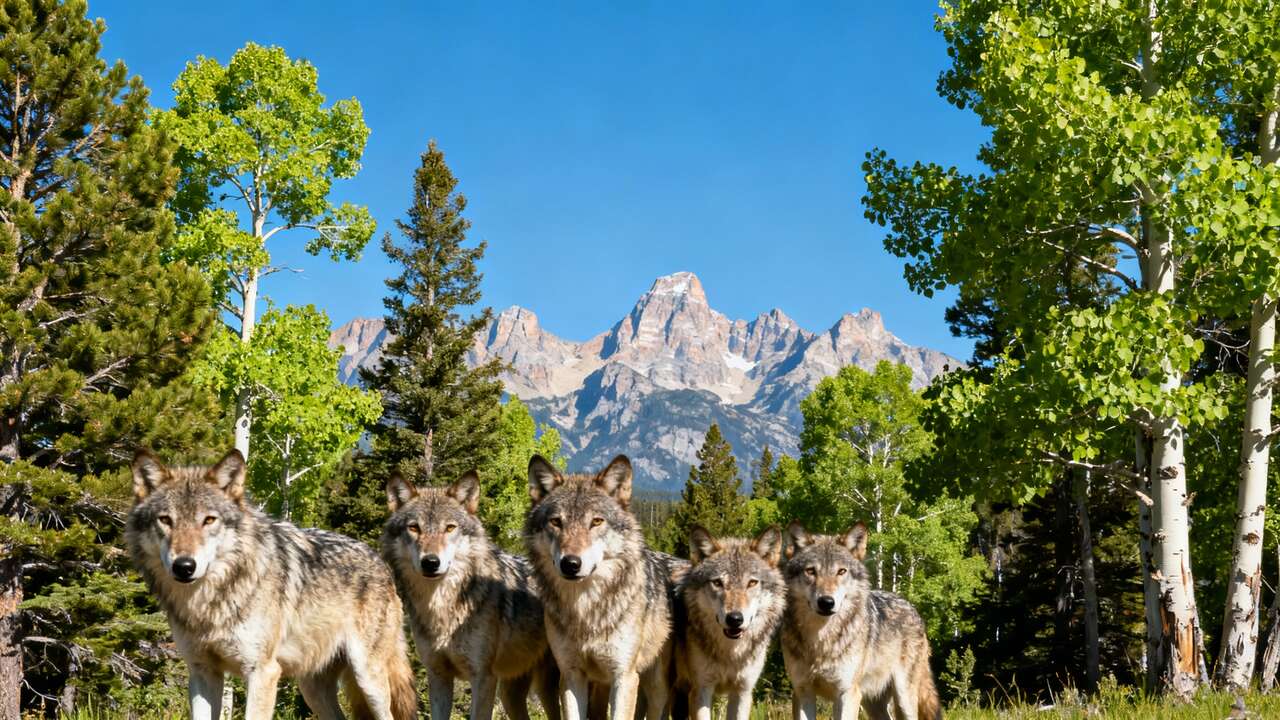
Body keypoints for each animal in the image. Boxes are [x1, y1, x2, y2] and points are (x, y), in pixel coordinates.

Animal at [125, 449, 416, 720]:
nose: (184, 566)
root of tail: (381, 563)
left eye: (208, 520)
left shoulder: (263, 672)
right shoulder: (202, 672)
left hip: (368, 679)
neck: (208, 601)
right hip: (312, 689)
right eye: (165, 520)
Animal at [381, 469, 560, 720]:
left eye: (449, 528)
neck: (442, 608)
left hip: (548, 684)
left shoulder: (483, 677)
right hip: (511, 694)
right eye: (414, 528)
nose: (430, 562)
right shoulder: (438, 675)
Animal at [525, 454, 686, 720]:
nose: (570, 563)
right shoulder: (571, 675)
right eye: (556, 522)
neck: (586, 609)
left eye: (596, 521)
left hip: (655, 686)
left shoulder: (624, 676)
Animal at [675, 525, 786, 720]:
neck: (730, 653)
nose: (734, 619)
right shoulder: (701, 688)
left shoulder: (742, 691)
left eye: (752, 583)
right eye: (717, 583)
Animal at [781, 521, 942, 720]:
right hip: (872, 703)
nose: (826, 602)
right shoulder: (802, 692)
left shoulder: (847, 693)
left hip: (903, 699)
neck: (821, 640)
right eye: (811, 571)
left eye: (841, 571)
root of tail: (912, 608)